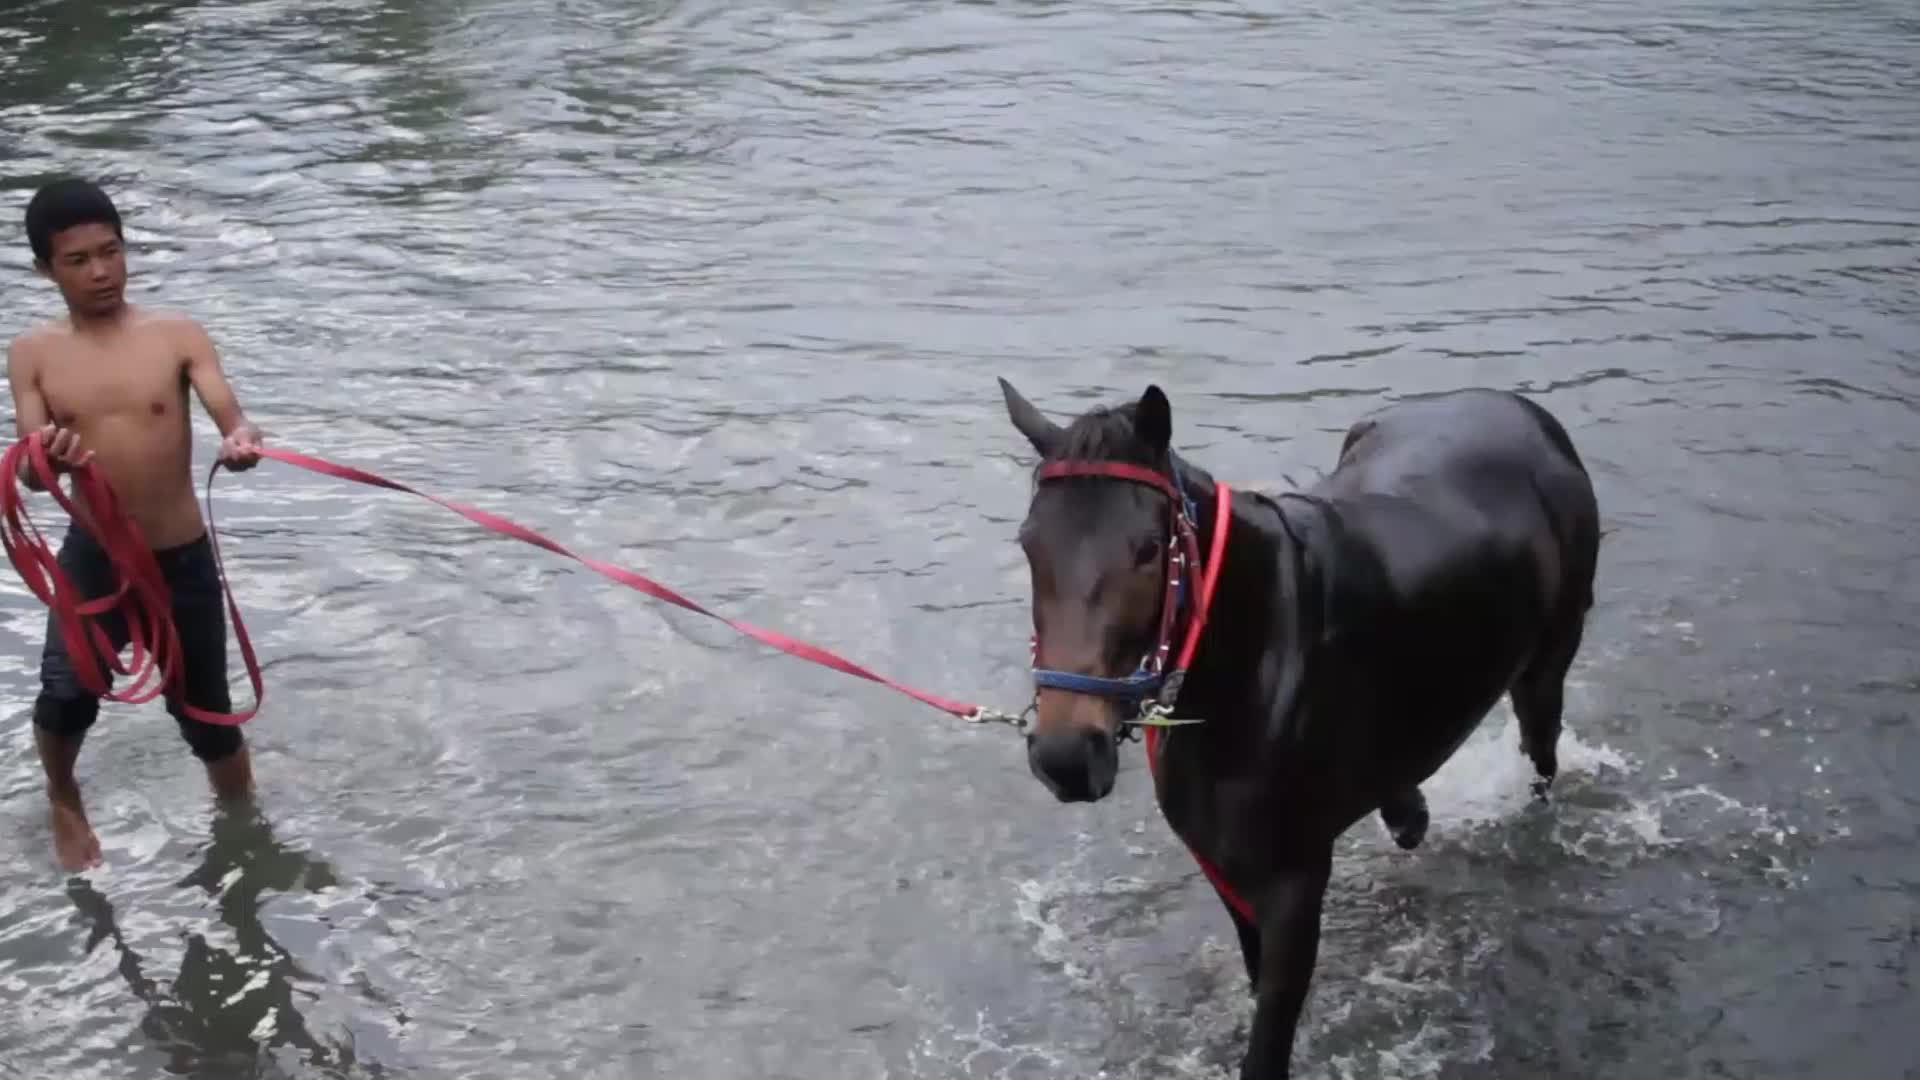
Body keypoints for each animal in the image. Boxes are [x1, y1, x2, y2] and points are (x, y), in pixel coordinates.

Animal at [997, 377, 1599, 1079]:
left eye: (1148, 550)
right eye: (1029, 543)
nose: (1066, 756)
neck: (1254, 665)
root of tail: (1523, 410)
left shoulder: (1295, 883)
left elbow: (1269, 1034)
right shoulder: (1225, 865)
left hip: (1545, 673)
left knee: (1541, 757)